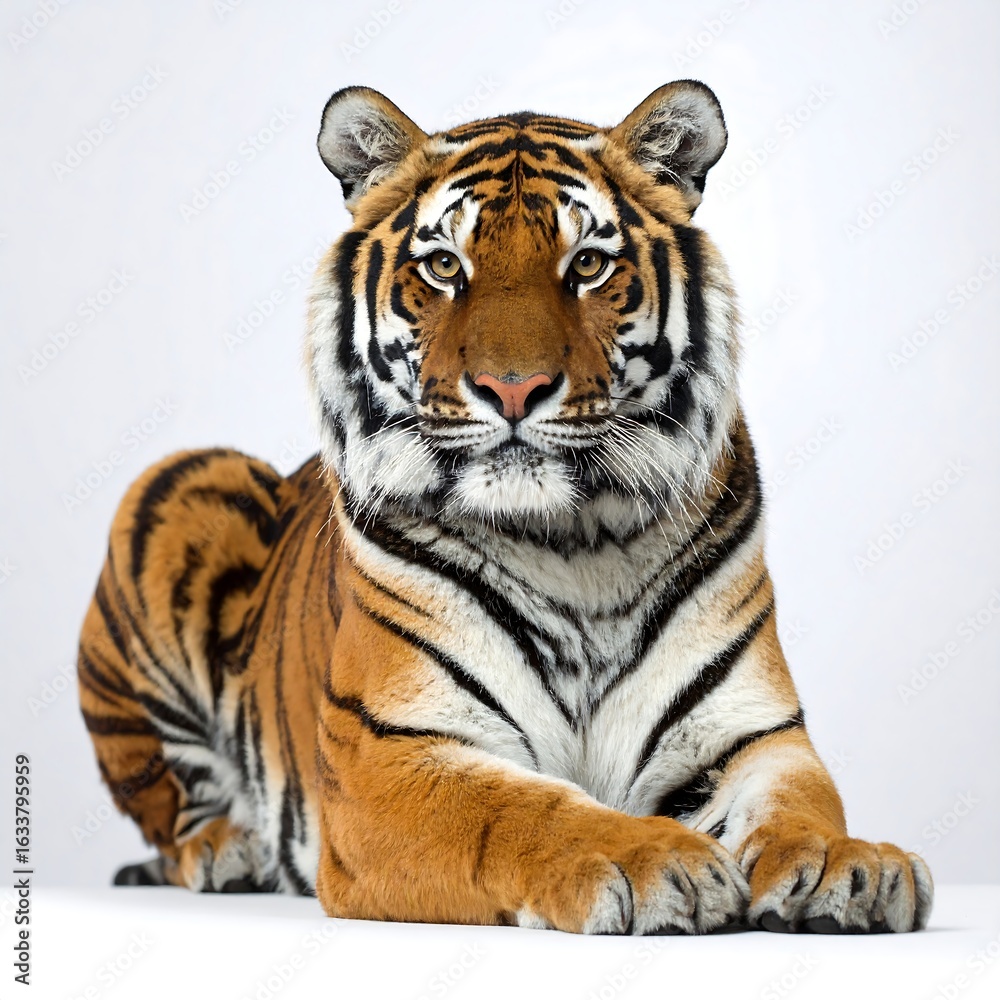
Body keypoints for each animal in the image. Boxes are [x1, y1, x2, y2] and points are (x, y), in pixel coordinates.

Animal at [77, 80, 934, 935]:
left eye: (587, 264)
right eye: (443, 266)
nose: (513, 389)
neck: (578, 544)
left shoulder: (753, 733)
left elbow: (803, 803)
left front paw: (848, 865)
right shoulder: (389, 748)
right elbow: (523, 811)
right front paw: (657, 861)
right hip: (178, 483)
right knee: (172, 808)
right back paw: (229, 851)